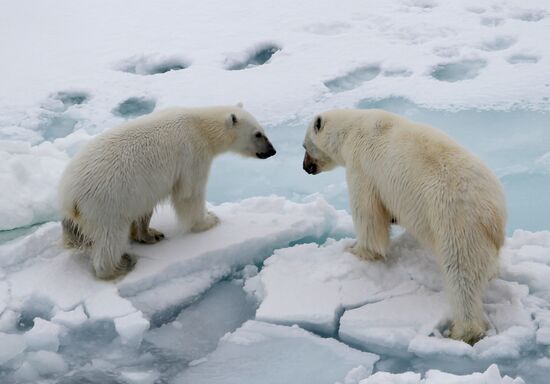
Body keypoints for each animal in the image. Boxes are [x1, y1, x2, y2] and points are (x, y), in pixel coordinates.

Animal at [59, 105, 276, 280]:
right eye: (258, 134)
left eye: (264, 130)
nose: (272, 151)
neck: (201, 127)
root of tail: (69, 197)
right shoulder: (193, 155)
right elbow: (189, 194)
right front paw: (209, 220)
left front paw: (148, 233)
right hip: (106, 202)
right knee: (110, 238)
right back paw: (120, 265)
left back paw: (149, 235)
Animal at [302, 109, 508, 344]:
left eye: (304, 146)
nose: (305, 167)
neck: (352, 128)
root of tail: (493, 212)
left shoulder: (362, 166)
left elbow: (368, 215)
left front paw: (355, 250)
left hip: (456, 221)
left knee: (462, 275)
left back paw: (461, 332)